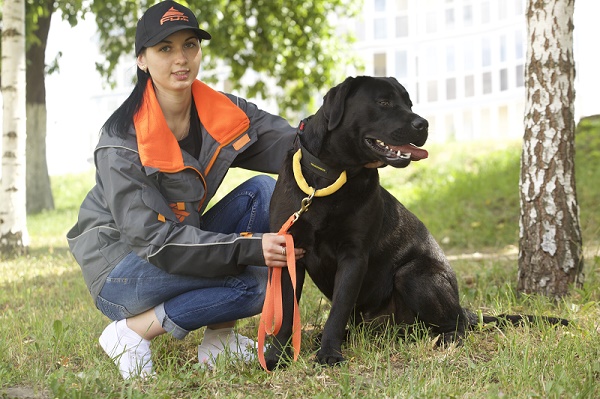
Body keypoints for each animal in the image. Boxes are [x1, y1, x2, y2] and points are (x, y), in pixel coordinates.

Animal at [264, 76, 568, 370]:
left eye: (409, 104)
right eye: (383, 102)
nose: (423, 123)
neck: (330, 178)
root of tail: (462, 307)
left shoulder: (353, 256)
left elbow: (337, 311)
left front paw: (328, 354)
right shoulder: (290, 251)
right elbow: (288, 309)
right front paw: (277, 356)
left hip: (413, 274)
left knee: (456, 324)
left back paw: (446, 339)